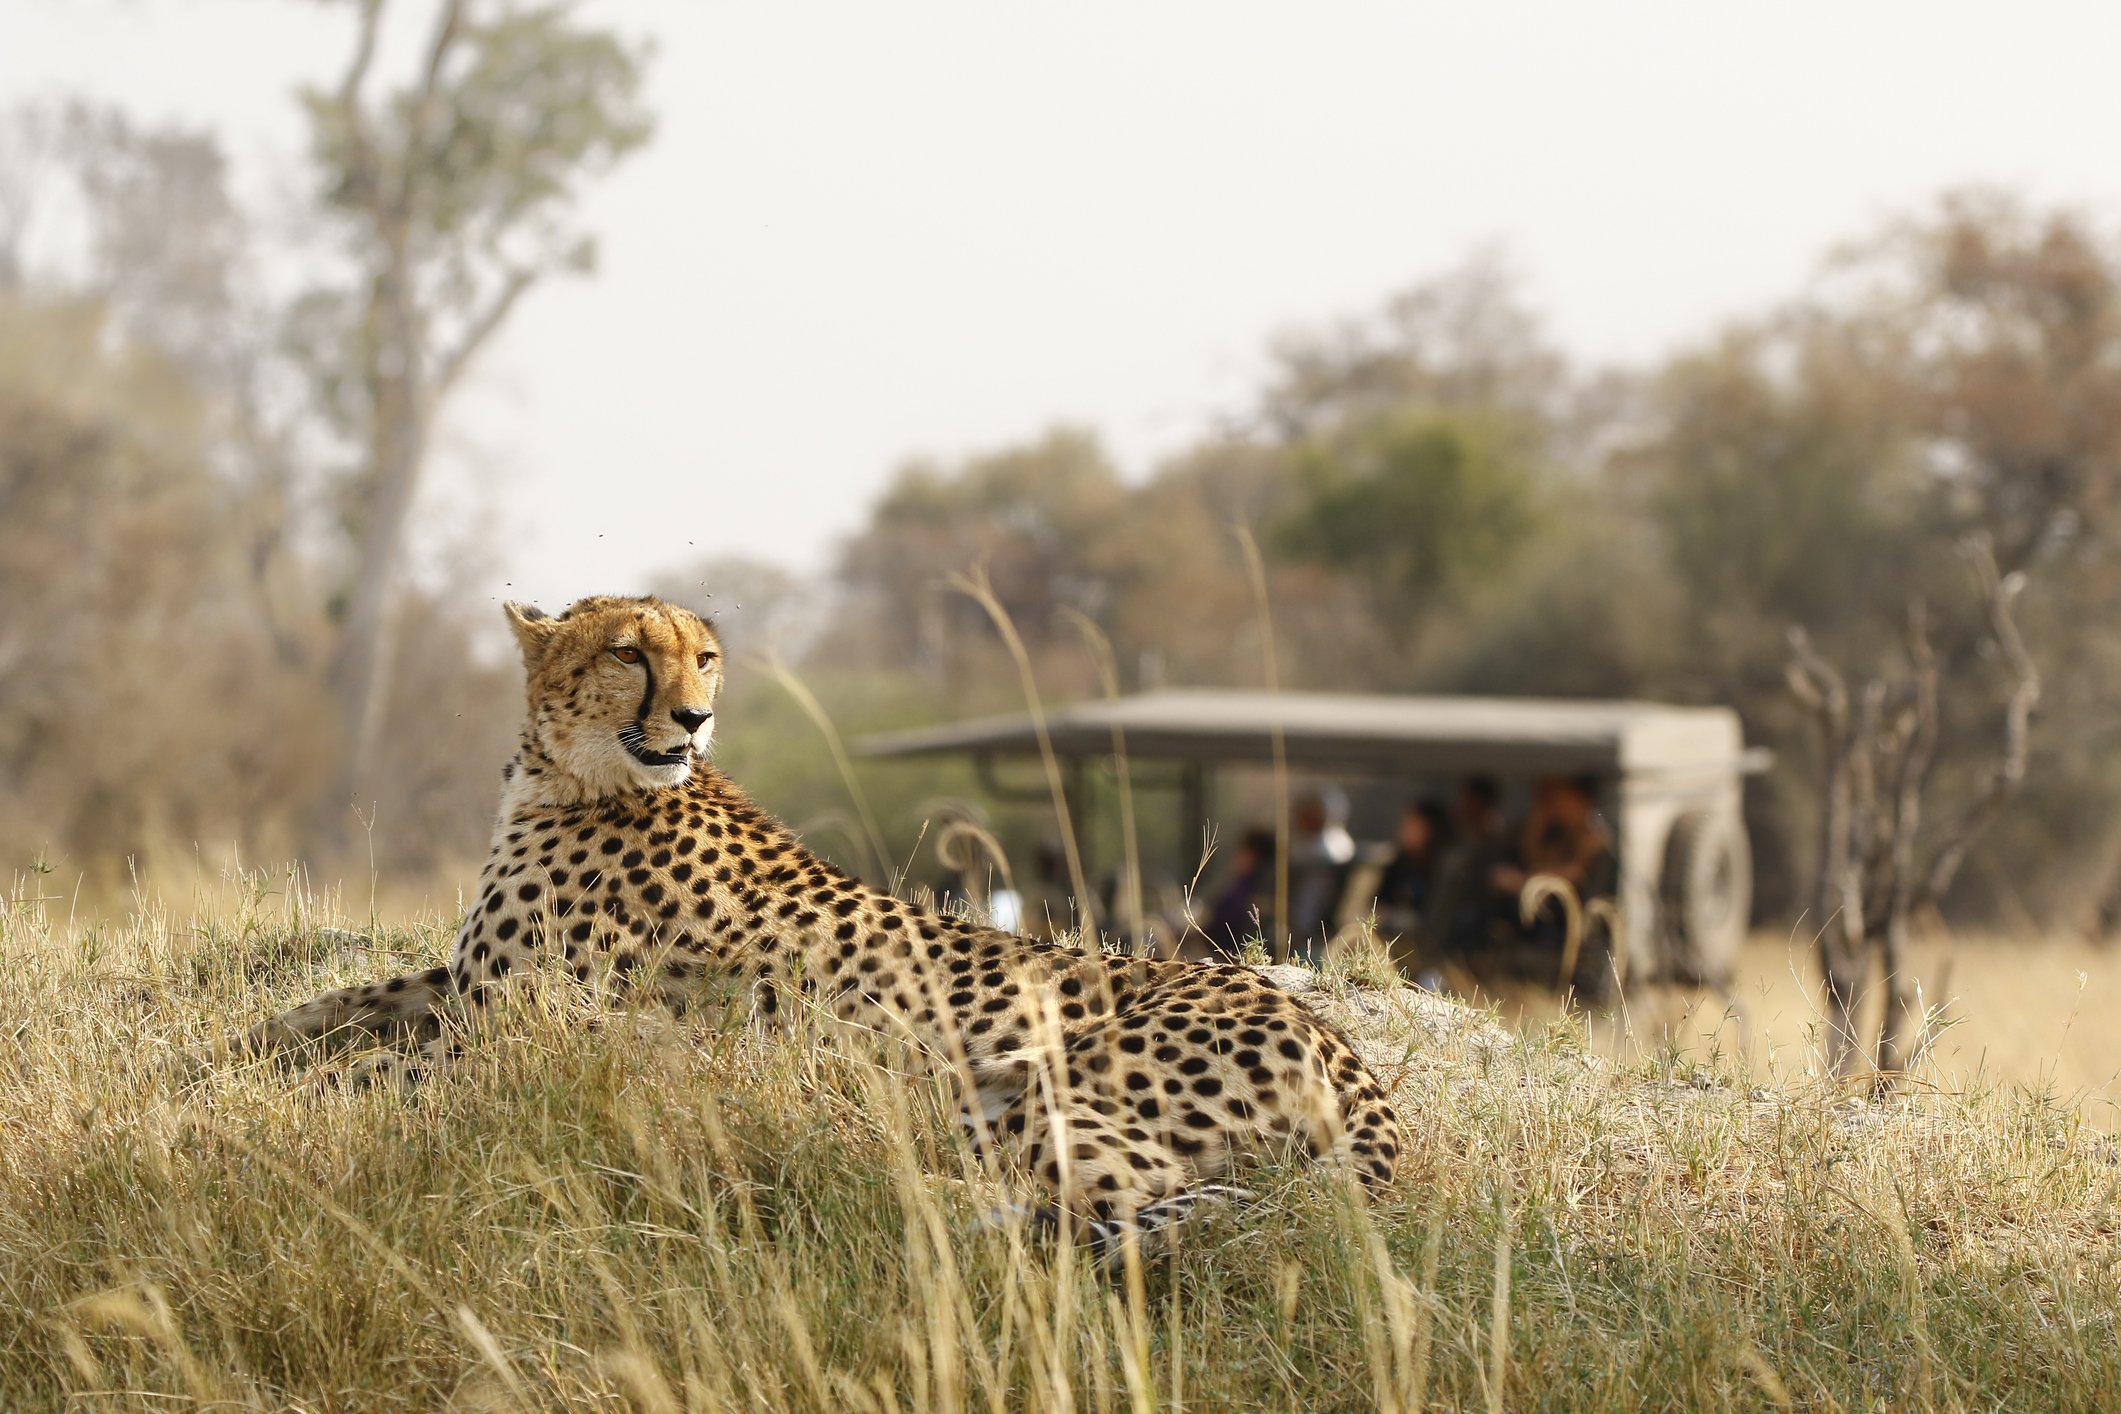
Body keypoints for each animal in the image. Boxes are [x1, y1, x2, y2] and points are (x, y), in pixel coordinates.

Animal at [239, 594, 1404, 1257]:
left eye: (703, 657)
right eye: (627, 653)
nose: (696, 715)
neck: (574, 773)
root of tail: (1335, 1037)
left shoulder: (522, 1025)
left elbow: (373, 1072)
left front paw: (266, 1095)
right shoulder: (468, 983)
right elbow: (334, 1006)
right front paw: (238, 1048)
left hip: (1030, 1086)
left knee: (1157, 1198)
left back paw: (890, 1188)